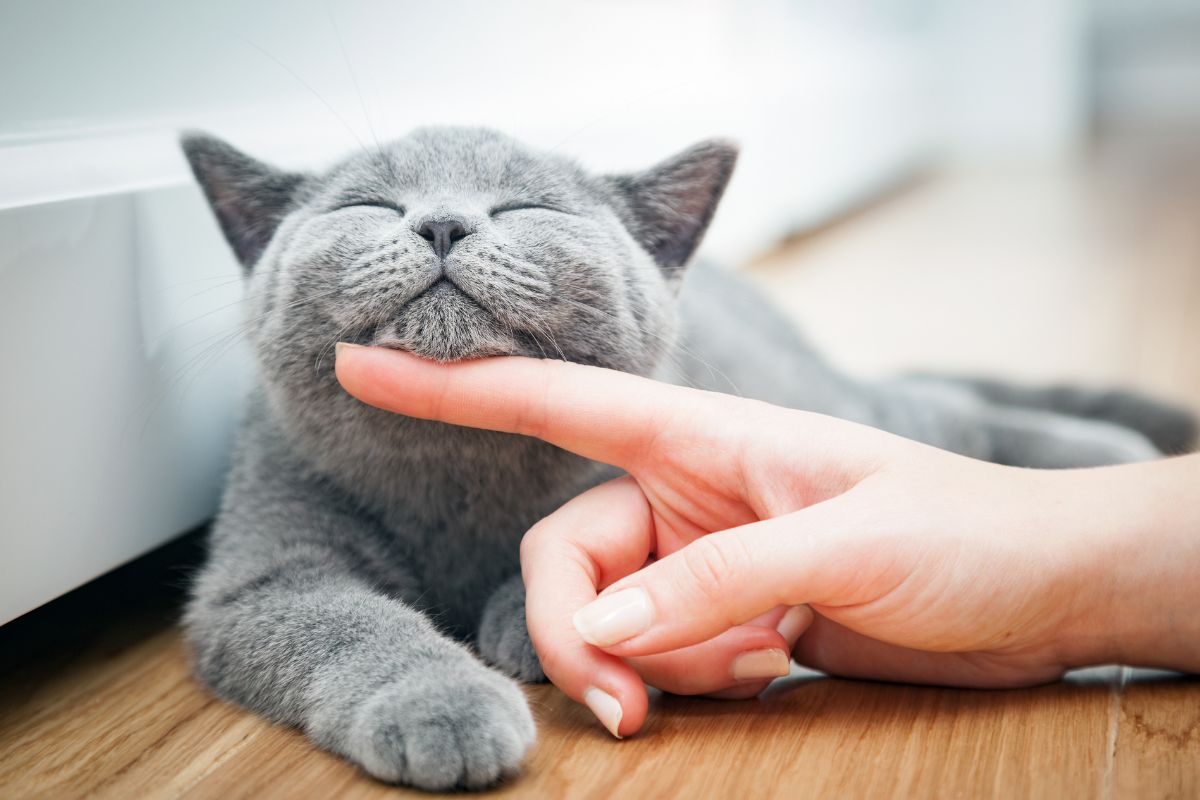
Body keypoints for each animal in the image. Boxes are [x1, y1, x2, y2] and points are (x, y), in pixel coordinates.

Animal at [177, 128, 1190, 791]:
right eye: (368, 206)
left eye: (526, 206)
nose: (442, 224)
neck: (455, 468)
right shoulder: (264, 573)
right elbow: (349, 624)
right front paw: (444, 702)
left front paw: (525, 623)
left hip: (815, 402)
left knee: (939, 413)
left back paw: (1108, 451)